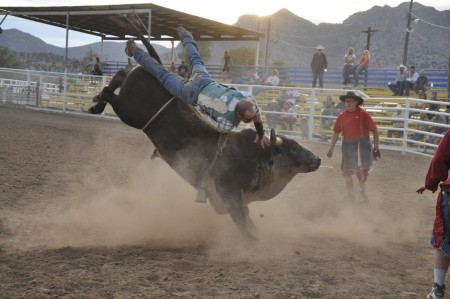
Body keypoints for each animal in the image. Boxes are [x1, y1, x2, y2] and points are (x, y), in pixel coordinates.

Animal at [89, 67, 320, 239]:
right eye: (293, 148)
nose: (317, 159)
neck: (259, 158)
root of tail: (142, 69)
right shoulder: (228, 193)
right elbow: (240, 219)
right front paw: (252, 240)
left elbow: (246, 216)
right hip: (130, 112)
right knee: (110, 91)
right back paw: (96, 104)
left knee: (120, 75)